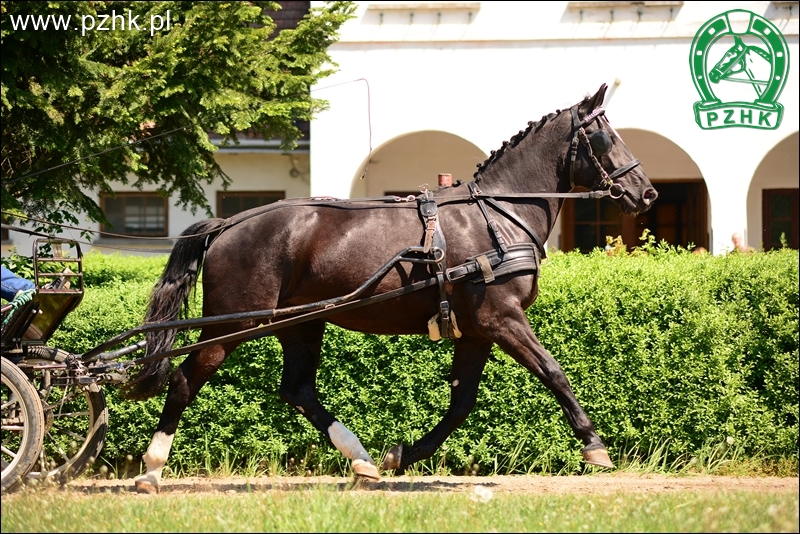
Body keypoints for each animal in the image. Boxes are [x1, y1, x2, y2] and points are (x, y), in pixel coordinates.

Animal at [123, 81, 656, 496]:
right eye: (604, 136)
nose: (647, 193)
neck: (499, 215)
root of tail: (228, 223)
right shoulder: (500, 318)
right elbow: (553, 371)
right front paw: (594, 444)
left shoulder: (476, 331)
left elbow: (461, 403)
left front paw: (403, 453)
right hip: (234, 323)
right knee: (185, 381)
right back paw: (151, 469)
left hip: (301, 322)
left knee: (298, 389)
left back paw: (361, 459)